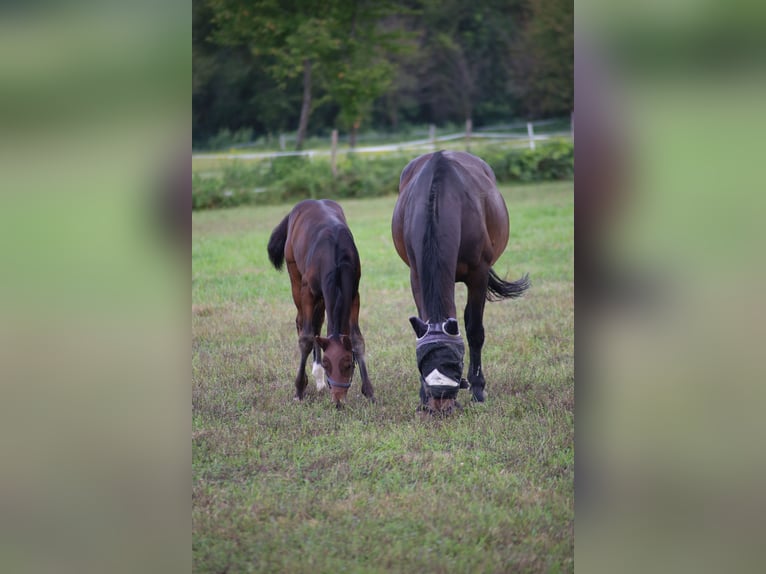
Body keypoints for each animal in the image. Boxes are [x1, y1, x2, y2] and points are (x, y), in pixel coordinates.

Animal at [267, 199, 375, 407]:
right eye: (327, 364)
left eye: (348, 364)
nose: (338, 401)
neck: (335, 256)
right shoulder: (308, 292)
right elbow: (306, 337)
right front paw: (299, 389)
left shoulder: (353, 294)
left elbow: (357, 339)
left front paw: (369, 391)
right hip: (295, 276)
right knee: (301, 321)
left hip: (324, 298)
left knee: (317, 323)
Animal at [391, 150, 529, 414]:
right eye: (422, 362)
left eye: (454, 364)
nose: (440, 405)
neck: (439, 200)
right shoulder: (416, 275)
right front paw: (422, 396)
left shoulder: (479, 274)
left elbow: (474, 329)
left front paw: (477, 389)